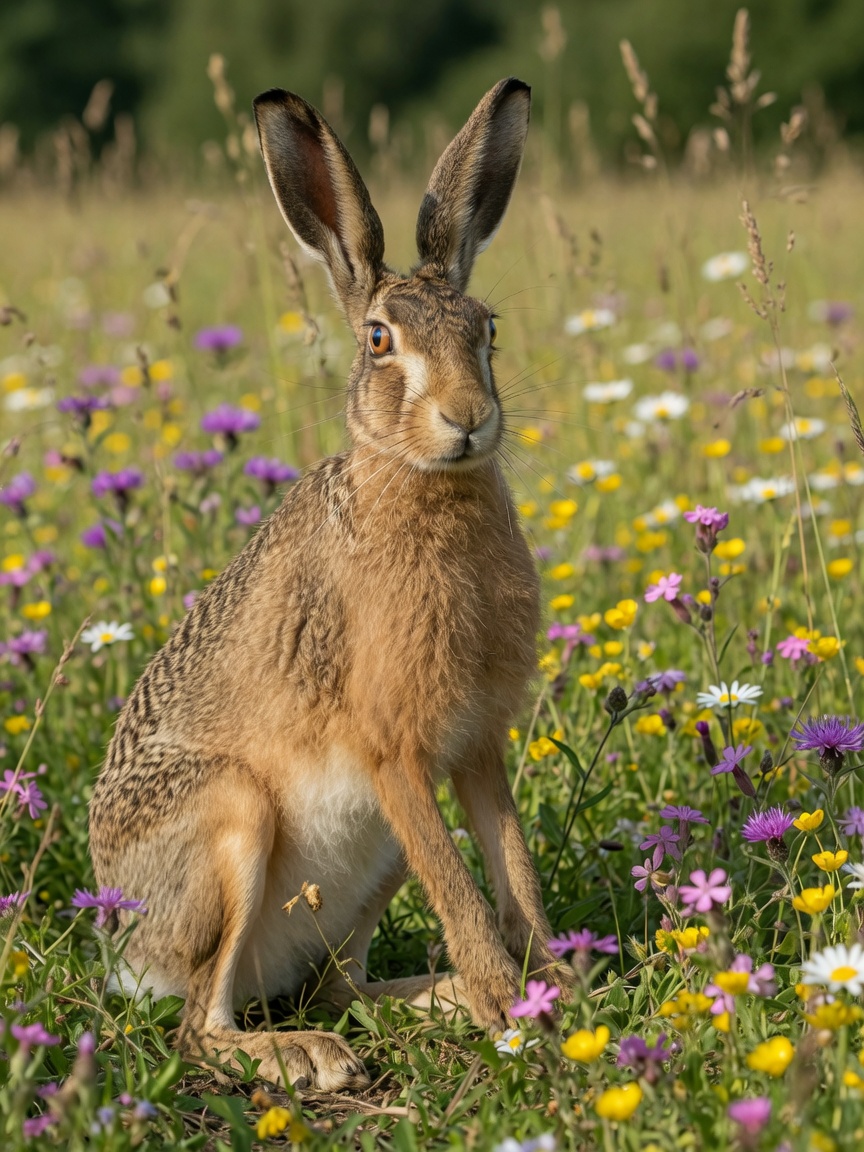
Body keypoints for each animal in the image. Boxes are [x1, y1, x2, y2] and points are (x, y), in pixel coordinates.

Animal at [88, 77, 569, 1092]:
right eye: (381, 339)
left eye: (488, 330)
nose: (468, 419)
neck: (420, 482)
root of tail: (128, 953)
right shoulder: (395, 754)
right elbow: (468, 894)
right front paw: (516, 1010)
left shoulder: (475, 748)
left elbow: (513, 872)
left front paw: (555, 989)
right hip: (234, 822)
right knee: (202, 1025)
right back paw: (305, 1058)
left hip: (371, 858)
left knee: (336, 985)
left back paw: (433, 1003)